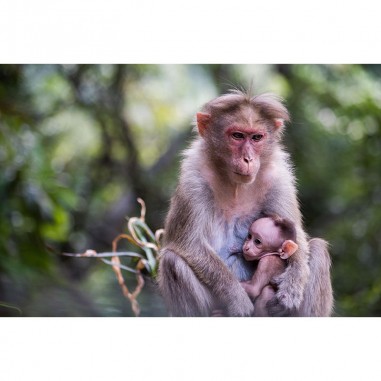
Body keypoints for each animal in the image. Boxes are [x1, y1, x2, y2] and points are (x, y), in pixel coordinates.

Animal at [156, 90, 332, 316]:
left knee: (318, 248)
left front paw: (292, 285)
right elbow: (189, 243)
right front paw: (236, 297)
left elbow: (296, 237)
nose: (248, 159)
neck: (235, 185)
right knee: (172, 260)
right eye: (237, 136)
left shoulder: (278, 177)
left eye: (256, 137)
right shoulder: (193, 179)